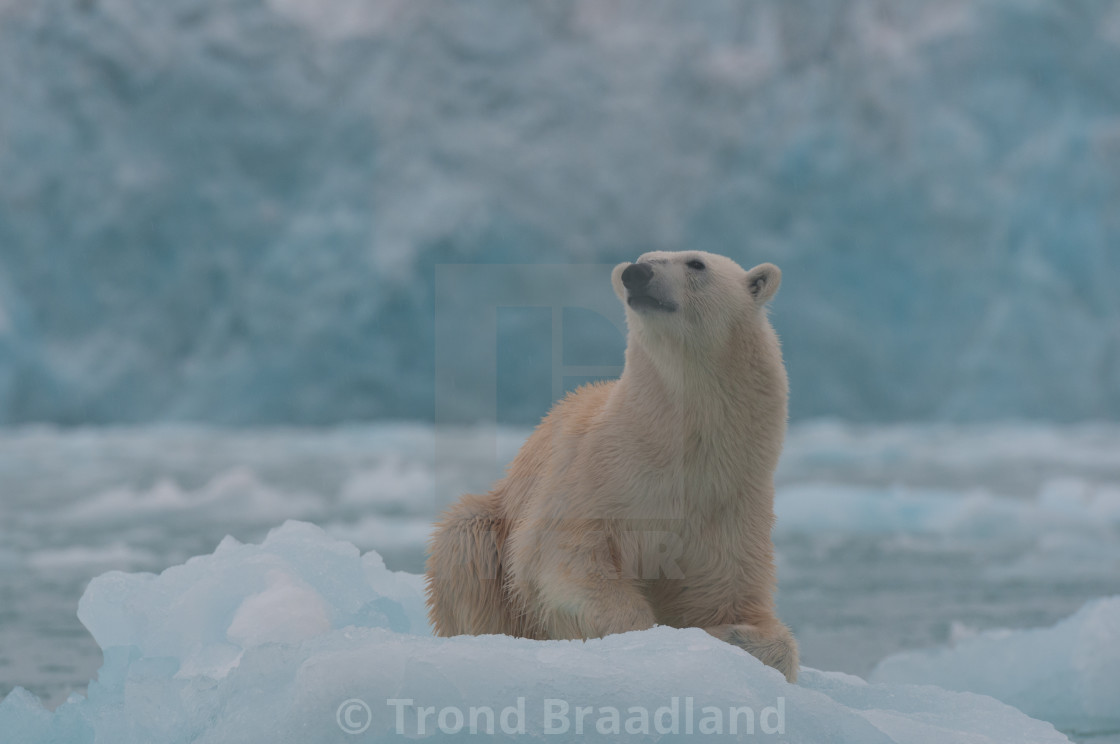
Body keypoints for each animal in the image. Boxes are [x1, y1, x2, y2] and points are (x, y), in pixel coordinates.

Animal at [423, 253, 801, 681]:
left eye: (696, 263)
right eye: (643, 258)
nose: (636, 273)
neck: (680, 448)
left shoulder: (729, 506)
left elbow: (732, 599)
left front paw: (730, 635)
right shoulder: (597, 473)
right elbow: (564, 556)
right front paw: (645, 636)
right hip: (493, 524)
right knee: (466, 542)